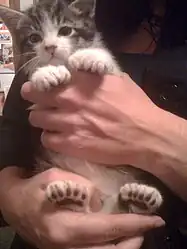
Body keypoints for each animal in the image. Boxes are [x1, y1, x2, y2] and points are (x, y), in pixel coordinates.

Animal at [0, 0, 163, 214]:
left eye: (65, 30)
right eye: (34, 38)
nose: (50, 47)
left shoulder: (117, 77)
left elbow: (109, 64)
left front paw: (92, 57)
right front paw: (46, 73)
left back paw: (141, 198)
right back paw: (70, 196)